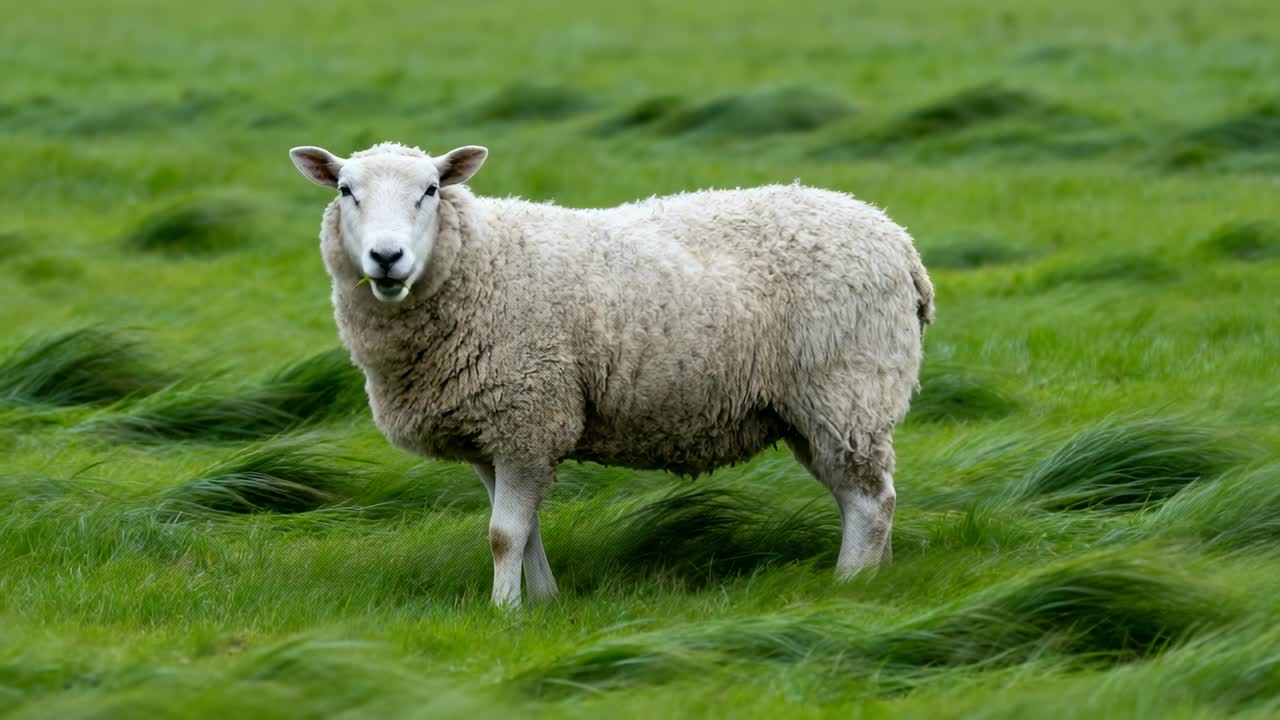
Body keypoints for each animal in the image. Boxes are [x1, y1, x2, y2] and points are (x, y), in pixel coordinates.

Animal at [288, 141, 935, 608]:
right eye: (346, 190)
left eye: (430, 190)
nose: (386, 258)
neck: (482, 264)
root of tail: (898, 240)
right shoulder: (492, 434)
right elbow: (527, 531)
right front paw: (544, 602)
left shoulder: (528, 415)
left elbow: (503, 535)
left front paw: (503, 613)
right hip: (815, 409)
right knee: (861, 497)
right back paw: (879, 579)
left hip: (847, 386)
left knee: (871, 501)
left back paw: (850, 586)